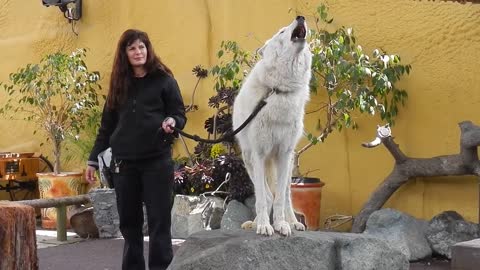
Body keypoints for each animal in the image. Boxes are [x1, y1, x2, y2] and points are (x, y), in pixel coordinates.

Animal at [232, 17, 312, 236]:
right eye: (281, 31)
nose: (301, 17)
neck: (279, 90)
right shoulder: (259, 154)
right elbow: (261, 198)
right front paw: (263, 226)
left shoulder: (284, 154)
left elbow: (280, 199)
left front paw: (282, 225)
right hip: (249, 160)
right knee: (266, 195)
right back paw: (255, 223)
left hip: (288, 162)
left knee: (284, 195)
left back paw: (293, 222)